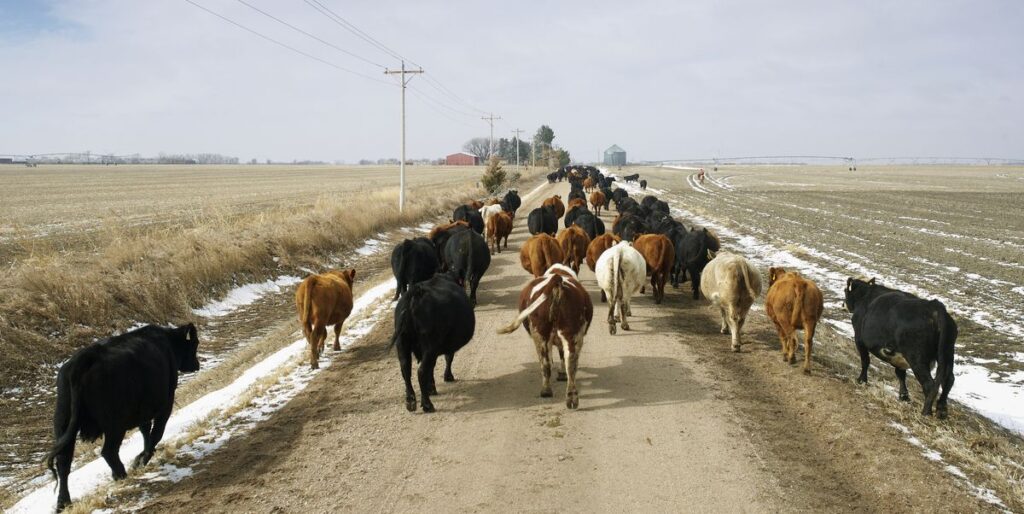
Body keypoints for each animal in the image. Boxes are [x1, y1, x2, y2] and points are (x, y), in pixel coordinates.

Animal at [47, 323, 199, 511]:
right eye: (195, 344)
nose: (197, 365)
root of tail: (84, 359)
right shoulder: (165, 403)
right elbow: (156, 433)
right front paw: (142, 459)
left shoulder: (143, 410)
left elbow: (145, 431)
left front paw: (142, 455)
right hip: (115, 424)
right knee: (108, 451)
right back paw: (121, 474)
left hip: (63, 422)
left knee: (63, 462)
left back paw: (63, 502)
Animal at [389, 272, 473, 413]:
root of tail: (416, 293)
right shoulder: (444, 346)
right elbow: (448, 358)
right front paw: (447, 377)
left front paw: (431, 387)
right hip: (429, 346)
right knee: (421, 371)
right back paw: (427, 404)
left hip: (402, 343)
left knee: (406, 369)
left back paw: (410, 401)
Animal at [495, 264, 593, 409]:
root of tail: (557, 279)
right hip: (571, 334)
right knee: (571, 363)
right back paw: (571, 398)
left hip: (540, 334)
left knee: (546, 363)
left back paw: (546, 391)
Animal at [843, 276, 954, 417]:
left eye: (845, 290)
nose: (843, 304)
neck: (865, 295)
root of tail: (933, 306)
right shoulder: (897, 355)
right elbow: (900, 374)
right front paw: (904, 396)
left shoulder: (859, 340)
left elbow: (865, 361)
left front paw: (861, 380)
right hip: (947, 353)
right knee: (949, 380)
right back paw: (941, 409)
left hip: (916, 358)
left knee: (930, 384)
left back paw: (926, 412)